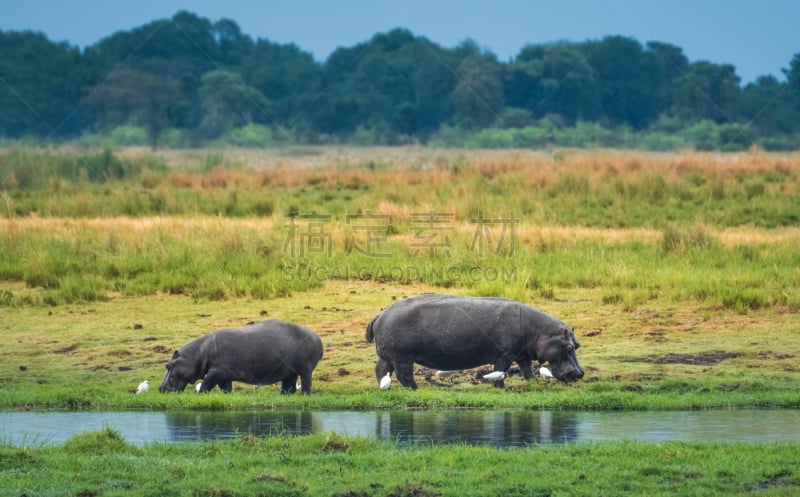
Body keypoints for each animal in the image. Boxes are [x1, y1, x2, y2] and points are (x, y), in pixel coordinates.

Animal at [158, 320, 324, 394]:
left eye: (168, 365)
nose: (160, 388)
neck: (198, 354)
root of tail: (317, 337)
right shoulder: (223, 375)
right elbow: (225, 388)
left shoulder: (216, 372)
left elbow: (206, 384)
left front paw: (200, 394)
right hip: (289, 372)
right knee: (289, 386)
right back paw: (284, 395)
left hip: (305, 369)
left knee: (306, 383)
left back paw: (305, 395)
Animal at [366, 292, 584, 390]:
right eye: (569, 346)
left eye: (577, 345)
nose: (580, 373)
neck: (540, 331)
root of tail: (381, 314)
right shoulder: (505, 354)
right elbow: (500, 371)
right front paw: (503, 389)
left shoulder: (522, 354)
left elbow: (527, 370)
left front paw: (534, 384)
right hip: (402, 357)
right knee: (404, 375)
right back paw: (416, 389)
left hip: (388, 356)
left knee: (380, 370)